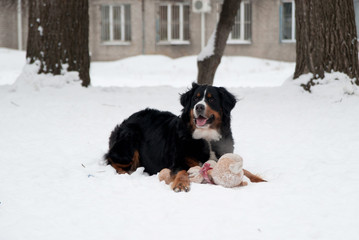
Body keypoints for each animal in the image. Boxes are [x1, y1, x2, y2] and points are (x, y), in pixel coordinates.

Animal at [104, 82, 264, 191]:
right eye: (195, 99)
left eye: (211, 99)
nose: (199, 107)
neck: (206, 137)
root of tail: (127, 119)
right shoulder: (178, 160)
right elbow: (181, 171)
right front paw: (181, 184)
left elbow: (246, 171)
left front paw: (260, 180)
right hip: (129, 139)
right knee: (111, 159)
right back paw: (123, 172)